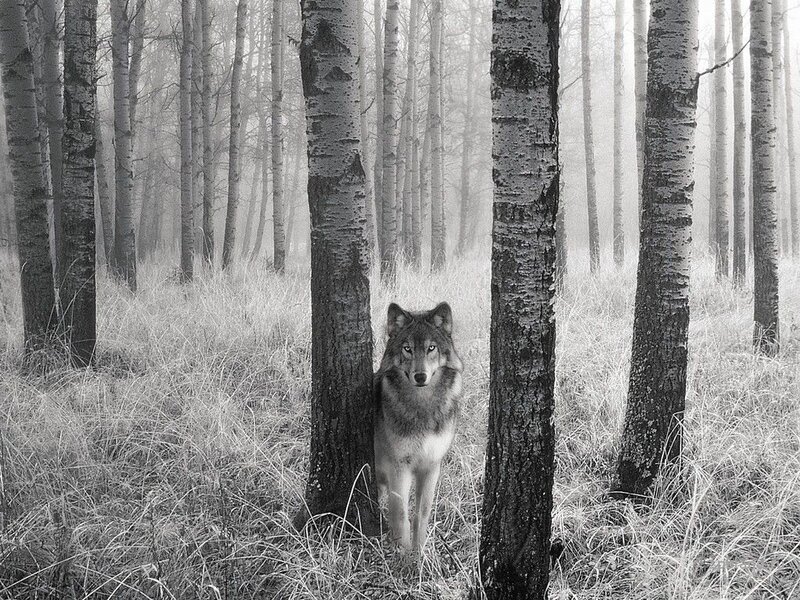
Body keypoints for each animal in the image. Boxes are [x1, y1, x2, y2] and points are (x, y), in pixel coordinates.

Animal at [374, 302, 463, 553]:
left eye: (431, 348)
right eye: (407, 349)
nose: (420, 376)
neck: (423, 407)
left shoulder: (431, 466)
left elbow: (421, 515)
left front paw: (420, 554)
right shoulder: (399, 467)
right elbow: (401, 515)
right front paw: (403, 557)